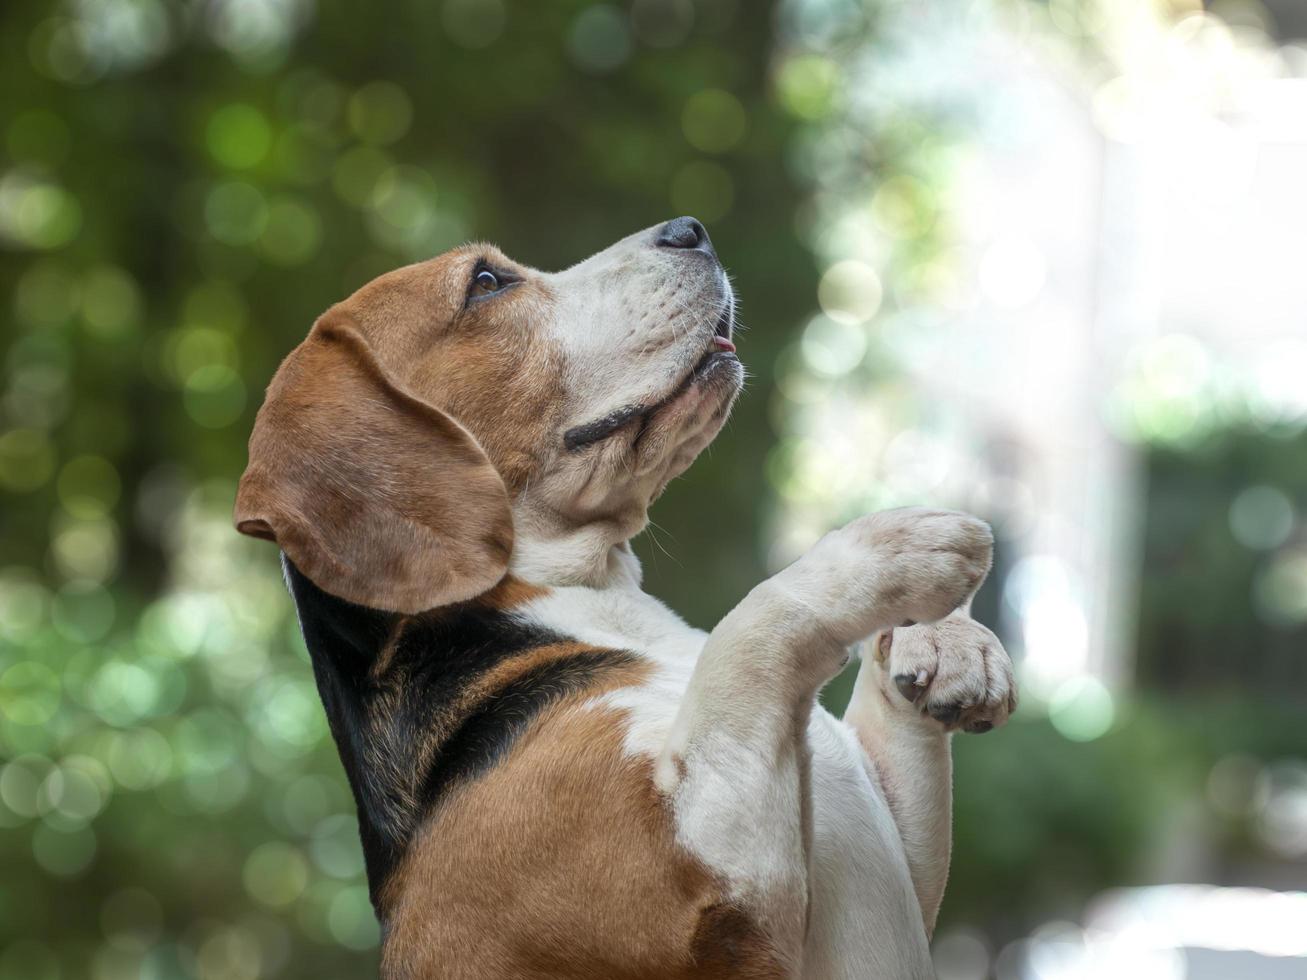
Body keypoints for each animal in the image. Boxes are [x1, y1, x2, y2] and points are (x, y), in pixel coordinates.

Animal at [237, 218, 1019, 977]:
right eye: (485, 283)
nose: (691, 230)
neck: (586, 599)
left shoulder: (899, 857)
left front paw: (944, 641)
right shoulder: (704, 876)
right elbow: (750, 626)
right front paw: (887, 546)